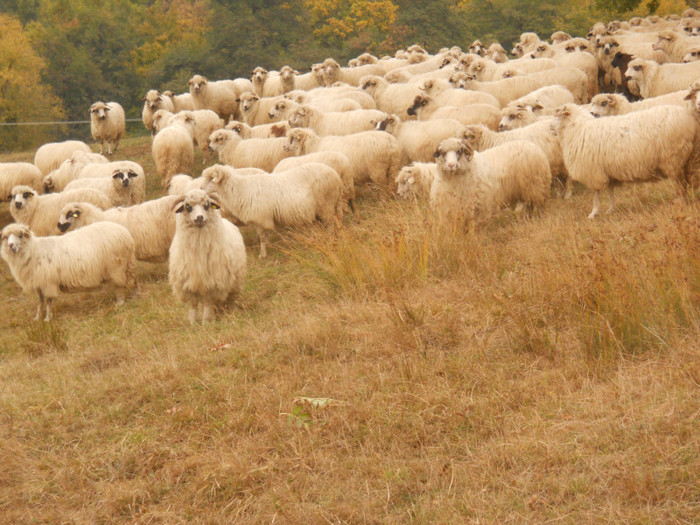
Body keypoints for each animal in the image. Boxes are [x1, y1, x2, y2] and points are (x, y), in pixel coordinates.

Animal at [169, 190, 246, 322]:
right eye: (188, 206)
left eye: (207, 205)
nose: (200, 217)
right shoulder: (189, 284)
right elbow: (193, 305)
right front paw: (192, 322)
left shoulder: (211, 283)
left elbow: (206, 304)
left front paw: (205, 322)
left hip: (234, 282)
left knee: (227, 299)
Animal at [202, 162, 344, 256]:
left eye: (211, 179)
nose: (200, 190)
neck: (241, 189)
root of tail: (336, 176)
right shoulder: (261, 218)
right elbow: (264, 235)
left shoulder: (261, 217)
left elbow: (263, 236)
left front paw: (263, 254)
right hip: (332, 205)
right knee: (337, 221)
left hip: (326, 205)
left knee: (330, 225)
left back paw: (330, 241)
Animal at [552, 103, 700, 218]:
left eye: (557, 116)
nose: (550, 128)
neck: (577, 129)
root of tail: (690, 119)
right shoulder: (608, 171)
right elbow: (611, 191)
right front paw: (610, 209)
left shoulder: (594, 172)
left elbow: (596, 194)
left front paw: (594, 213)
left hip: (673, 160)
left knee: (680, 185)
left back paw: (680, 203)